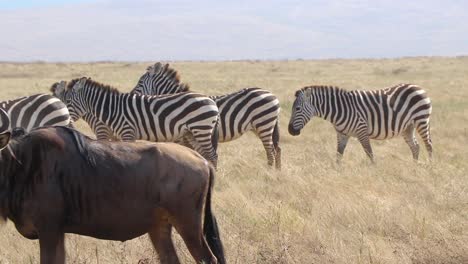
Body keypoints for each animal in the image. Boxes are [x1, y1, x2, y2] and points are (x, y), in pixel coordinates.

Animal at [59, 77, 219, 166]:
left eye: (68, 102)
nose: (64, 121)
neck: (113, 109)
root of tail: (210, 100)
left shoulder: (128, 132)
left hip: (201, 128)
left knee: (212, 155)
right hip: (192, 132)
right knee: (205, 155)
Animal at [131, 62, 282, 169]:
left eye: (139, 82)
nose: (131, 94)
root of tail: (271, 94)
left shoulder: (183, 138)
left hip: (263, 124)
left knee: (270, 151)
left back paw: (269, 173)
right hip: (261, 127)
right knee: (277, 148)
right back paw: (277, 172)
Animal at [288, 83, 434, 162]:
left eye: (297, 109)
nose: (290, 130)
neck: (340, 109)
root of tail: (418, 86)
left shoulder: (362, 131)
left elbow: (370, 154)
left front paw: (375, 172)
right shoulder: (342, 134)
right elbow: (338, 155)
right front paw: (337, 173)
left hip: (421, 119)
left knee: (428, 145)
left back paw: (430, 167)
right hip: (407, 127)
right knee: (415, 147)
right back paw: (414, 167)